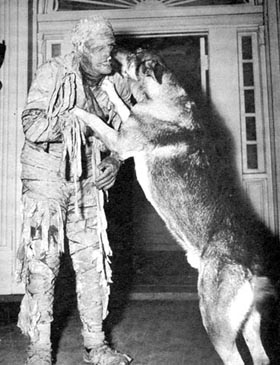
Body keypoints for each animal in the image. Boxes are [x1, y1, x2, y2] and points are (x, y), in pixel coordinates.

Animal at [73, 49, 278, 364]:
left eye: (133, 55)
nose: (116, 50)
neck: (164, 95)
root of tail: (250, 270)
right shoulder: (129, 124)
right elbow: (122, 106)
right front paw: (109, 88)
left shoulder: (120, 139)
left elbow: (95, 119)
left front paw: (75, 109)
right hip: (248, 325)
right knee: (260, 356)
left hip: (217, 326)